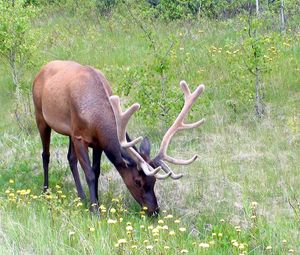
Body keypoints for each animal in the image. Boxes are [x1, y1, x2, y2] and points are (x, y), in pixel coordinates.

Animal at [32, 60, 205, 216]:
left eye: (154, 182)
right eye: (137, 181)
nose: (155, 211)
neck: (95, 117)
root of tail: (42, 69)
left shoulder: (96, 142)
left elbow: (96, 171)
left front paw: (96, 203)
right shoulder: (80, 137)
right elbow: (89, 174)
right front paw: (95, 210)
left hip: (69, 131)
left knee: (70, 158)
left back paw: (81, 197)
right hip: (40, 115)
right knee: (45, 155)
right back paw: (46, 190)